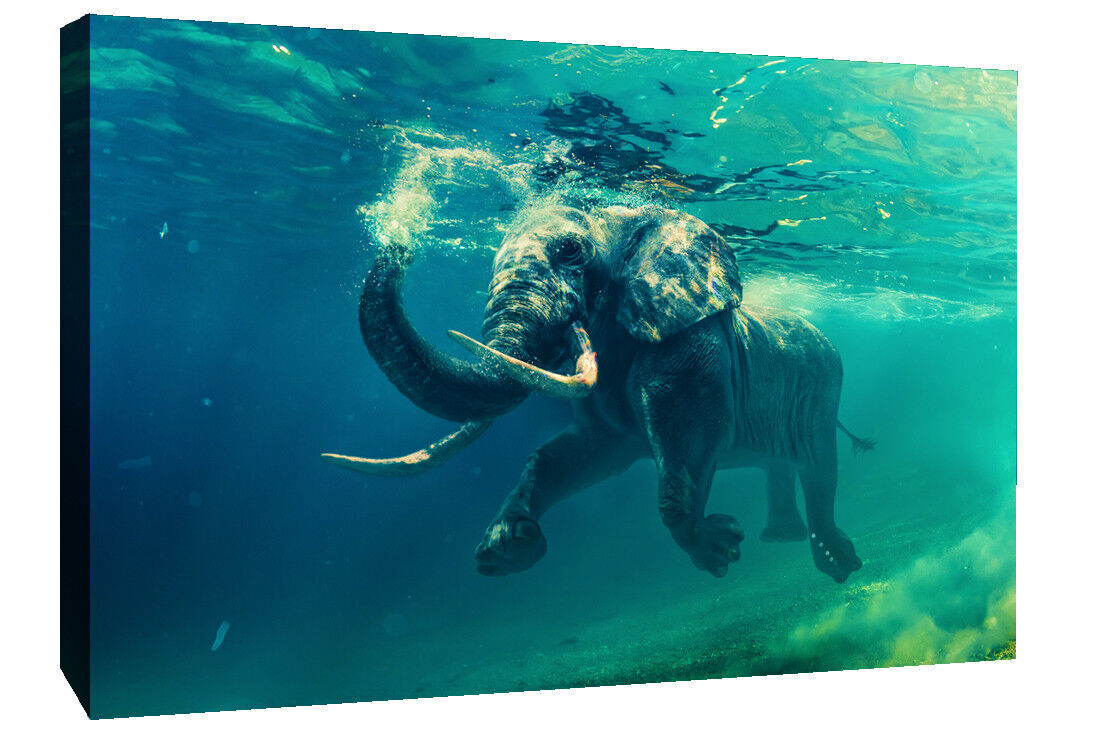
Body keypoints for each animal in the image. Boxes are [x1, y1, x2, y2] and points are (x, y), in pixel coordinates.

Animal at [323, 204, 873, 583]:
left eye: (570, 252)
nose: (399, 243)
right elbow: (574, 455)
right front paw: (507, 547)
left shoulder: (689, 342)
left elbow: (690, 438)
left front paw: (718, 550)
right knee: (781, 465)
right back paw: (782, 539)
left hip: (825, 388)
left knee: (819, 468)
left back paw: (836, 564)